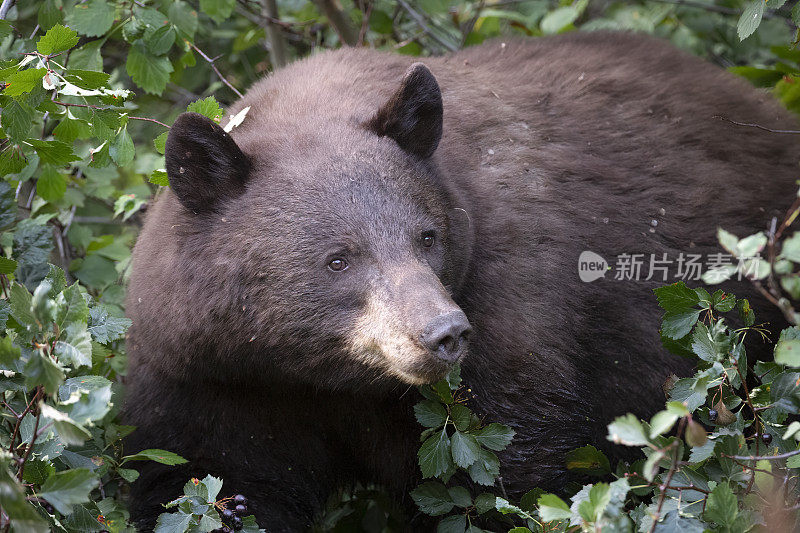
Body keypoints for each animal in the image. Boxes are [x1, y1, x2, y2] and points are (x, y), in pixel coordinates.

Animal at [125, 31, 800, 528]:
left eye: (427, 236)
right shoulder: (214, 375)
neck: (328, 379)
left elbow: (514, 474)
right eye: (338, 258)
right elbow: (207, 476)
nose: (444, 333)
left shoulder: (510, 306)